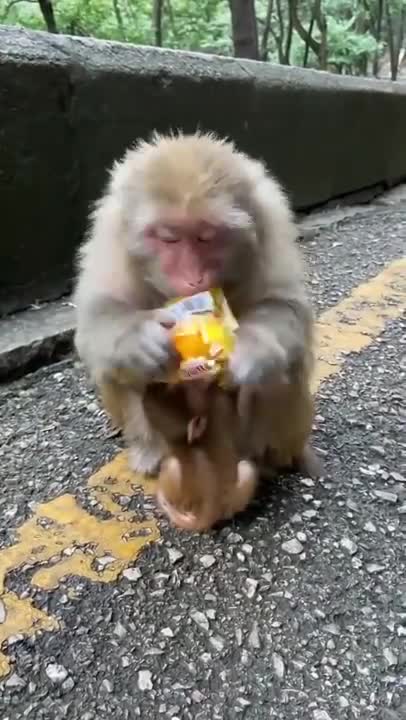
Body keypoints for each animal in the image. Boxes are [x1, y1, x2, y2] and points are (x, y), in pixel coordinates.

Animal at [73, 131, 322, 479]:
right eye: (169, 238)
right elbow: (98, 312)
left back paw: (267, 460)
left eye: (206, 236)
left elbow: (285, 305)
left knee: (282, 368)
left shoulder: (269, 221)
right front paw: (140, 340)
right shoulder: (111, 233)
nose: (193, 278)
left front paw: (250, 350)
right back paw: (151, 454)